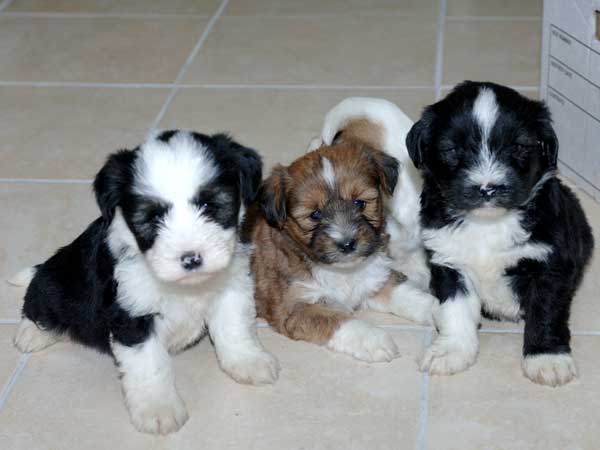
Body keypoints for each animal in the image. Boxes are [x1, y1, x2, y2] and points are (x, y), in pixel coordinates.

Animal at [13, 130, 282, 432]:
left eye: (209, 205)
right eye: (152, 217)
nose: (191, 259)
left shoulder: (231, 287)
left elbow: (235, 329)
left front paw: (249, 362)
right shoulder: (132, 315)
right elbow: (149, 364)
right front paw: (158, 409)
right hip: (59, 278)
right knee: (39, 298)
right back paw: (32, 334)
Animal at [246, 115, 434, 362]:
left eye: (360, 203)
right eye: (315, 215)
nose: (347, 244)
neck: (343, 271)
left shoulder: (375, 277)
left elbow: (405, 293)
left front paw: (443, 311)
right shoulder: (297, 306)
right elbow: (339, 321)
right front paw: (375, 340)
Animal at [406, 81, 592, 386]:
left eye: (519, 146)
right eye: (452, 150)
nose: (487, 188)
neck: (487, 224)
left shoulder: (550, 263)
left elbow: (546, 311)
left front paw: (547, 358)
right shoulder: (448, 261)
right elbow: (455, 310)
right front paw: (452, 350)